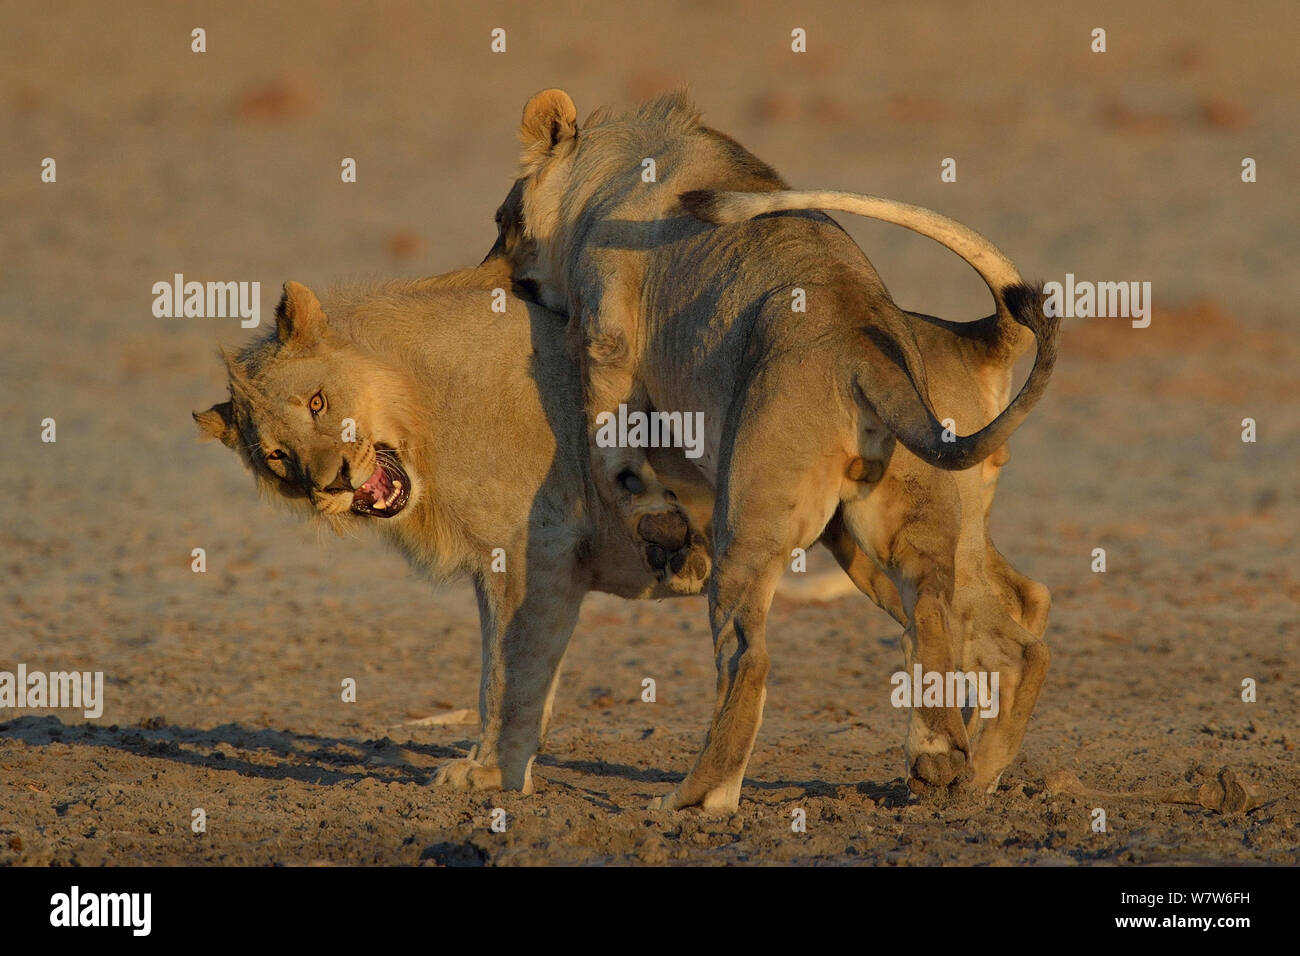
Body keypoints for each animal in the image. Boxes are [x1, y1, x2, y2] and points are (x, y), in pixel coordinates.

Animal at [491, 87, 1060, 806]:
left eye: (502, 219)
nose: (492, 274)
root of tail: (863, 343)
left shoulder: (605, 340)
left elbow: (615, 457)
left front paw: (664, 534)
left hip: (759, 517)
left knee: (749, 657)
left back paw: (698, 797)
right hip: (893, 528)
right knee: (958, 616)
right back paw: (953, 768)